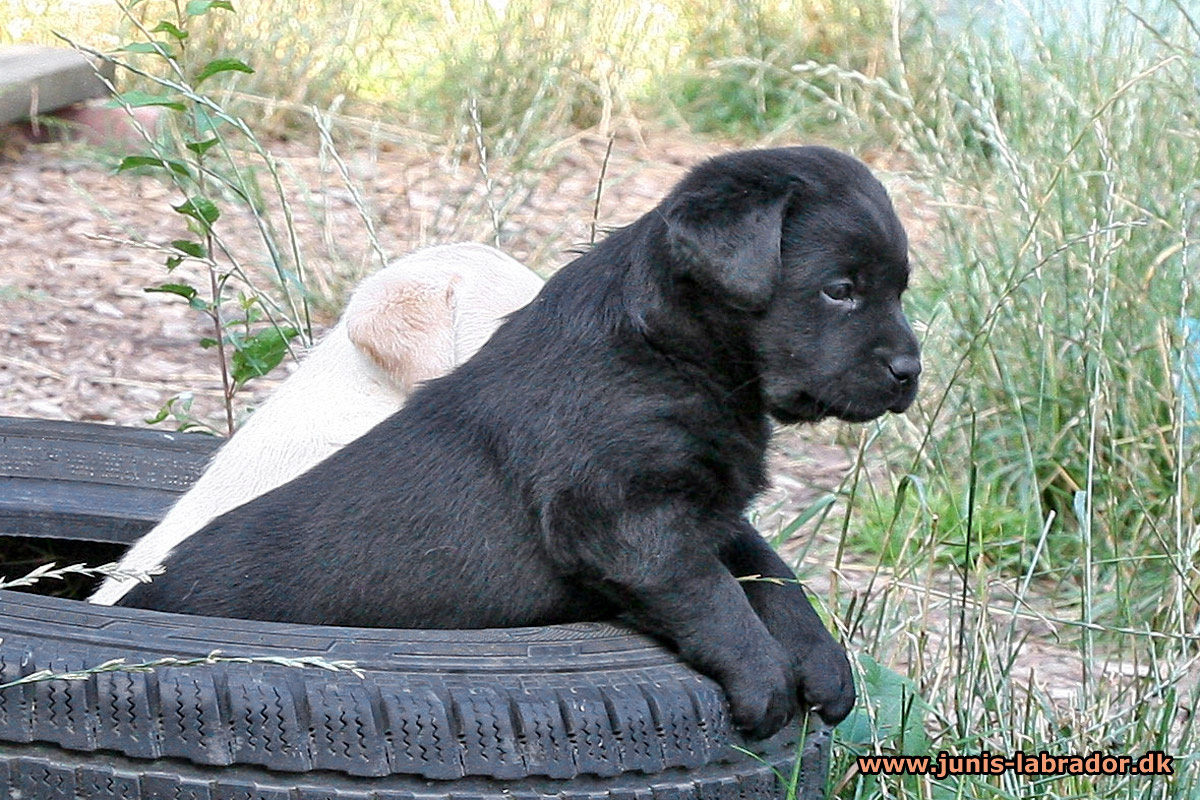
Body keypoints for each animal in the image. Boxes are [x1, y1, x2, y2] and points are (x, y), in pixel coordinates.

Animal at [121, 146, 916, 743]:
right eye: (840, 289)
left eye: (900, 290)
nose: (911, 371)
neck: (670, 351)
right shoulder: (625, 517)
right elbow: (712, 592)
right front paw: (763, 677)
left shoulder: (711, 508)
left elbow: (770, 572)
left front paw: (822, 661)